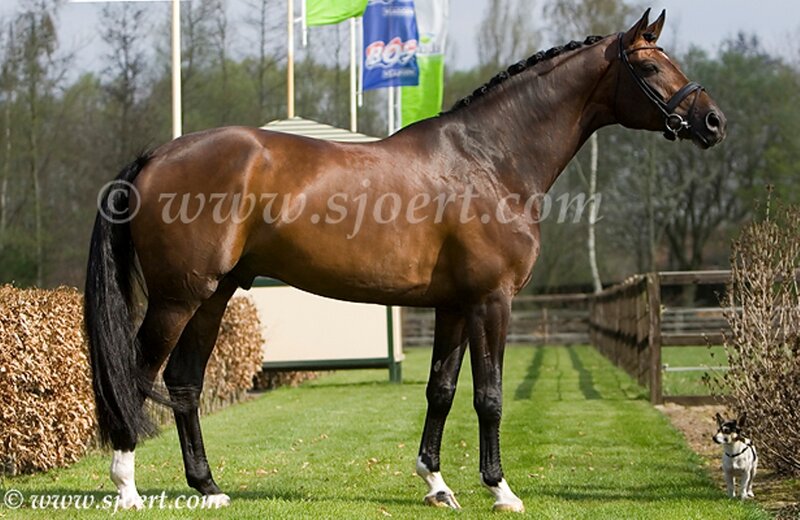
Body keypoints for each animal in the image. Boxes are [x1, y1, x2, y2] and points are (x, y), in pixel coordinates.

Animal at [84, 9, 725, 512]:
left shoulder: (453, 305)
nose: (712, 121)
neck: (491, 159)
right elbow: (489, 396)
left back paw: (209, 487)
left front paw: (437, 484)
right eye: (650, 67)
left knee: (184, 382)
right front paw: (501, 490)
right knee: (137, 375)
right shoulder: (492, 301)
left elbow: (441, 389)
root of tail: (156, 156)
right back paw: (128, 489)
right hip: (178, 298)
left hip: (213, 295)